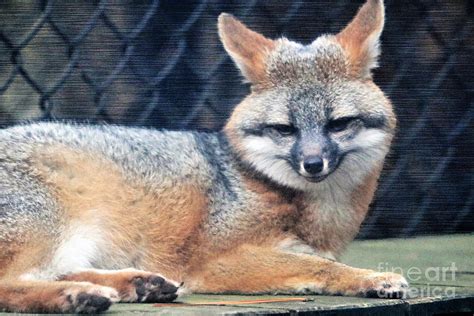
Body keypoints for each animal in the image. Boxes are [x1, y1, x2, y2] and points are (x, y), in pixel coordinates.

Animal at [0, 0, 408, 314]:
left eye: (338, 124)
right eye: (285, 128)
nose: (312, 164)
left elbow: (316, 259)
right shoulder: (215, 259)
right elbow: (317, 264)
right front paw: (370, 277)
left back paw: (137, 283)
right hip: (50, 230)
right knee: (12, 284)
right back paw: (77, 295)